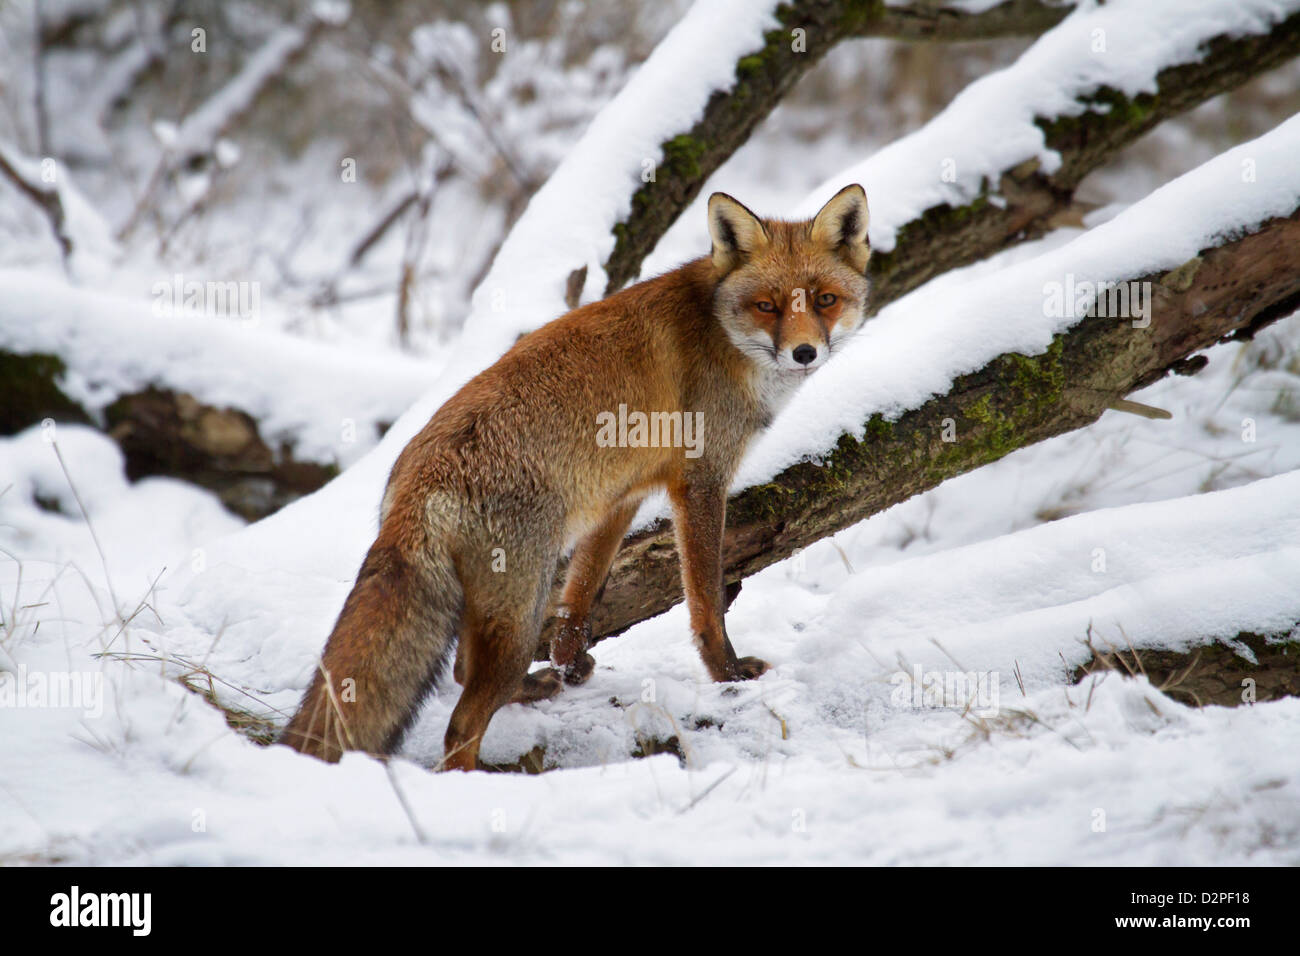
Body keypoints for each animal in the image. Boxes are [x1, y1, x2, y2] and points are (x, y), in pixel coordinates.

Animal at [284, 184, 873, 770]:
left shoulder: (621, 497)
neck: (722, 336)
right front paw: (727, 675)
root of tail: (418, 482)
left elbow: (582, 595)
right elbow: (705, 602)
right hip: (519, 613)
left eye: (825, 300)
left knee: (461, 671)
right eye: (767, 306)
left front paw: (569, 661)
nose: (804, 352)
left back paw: (536, 686)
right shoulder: (701, 481)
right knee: (462, 724)